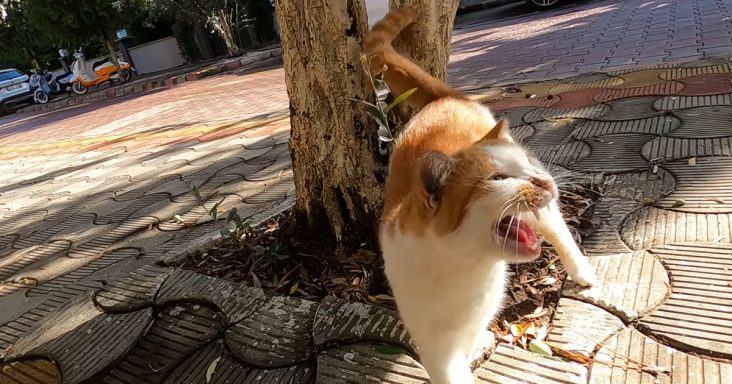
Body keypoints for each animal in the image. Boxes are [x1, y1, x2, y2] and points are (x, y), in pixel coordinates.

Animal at [368, 6, 596, 384]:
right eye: (499, 178)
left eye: (526, 165)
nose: (543, 181)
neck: (468, 267)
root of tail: (446, 99)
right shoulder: (439, 349)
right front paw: (475, 347)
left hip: (545, 216)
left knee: (560, 231)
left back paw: (581, 271)